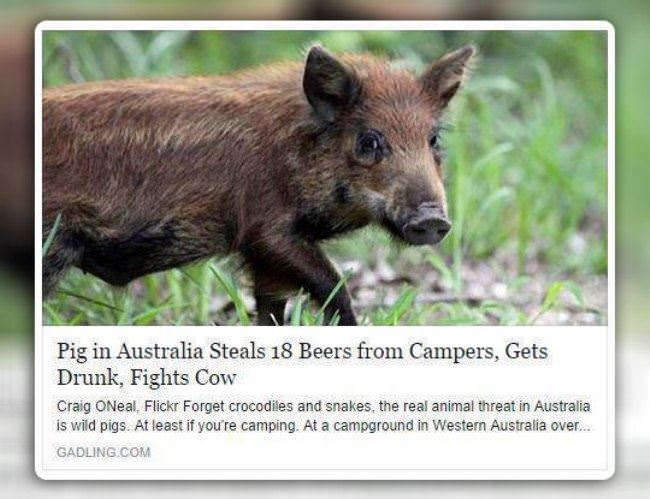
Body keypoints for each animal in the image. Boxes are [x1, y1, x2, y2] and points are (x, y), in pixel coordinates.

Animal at [42, 43, 475, 325]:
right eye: (369, 141)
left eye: (433, 139)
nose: (433, 220)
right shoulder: (264, 230)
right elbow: (334, 287)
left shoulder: (267, 257)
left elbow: (272, 309)